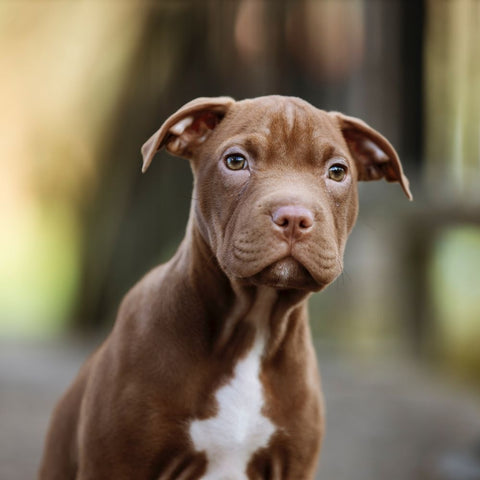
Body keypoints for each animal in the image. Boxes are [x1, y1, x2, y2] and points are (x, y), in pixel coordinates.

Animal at [39, 95, 410, 478]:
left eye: (337, 171)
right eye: (236, 162)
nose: (294, 217)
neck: (251, 326)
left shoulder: (293, 465)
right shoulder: (119, 463)